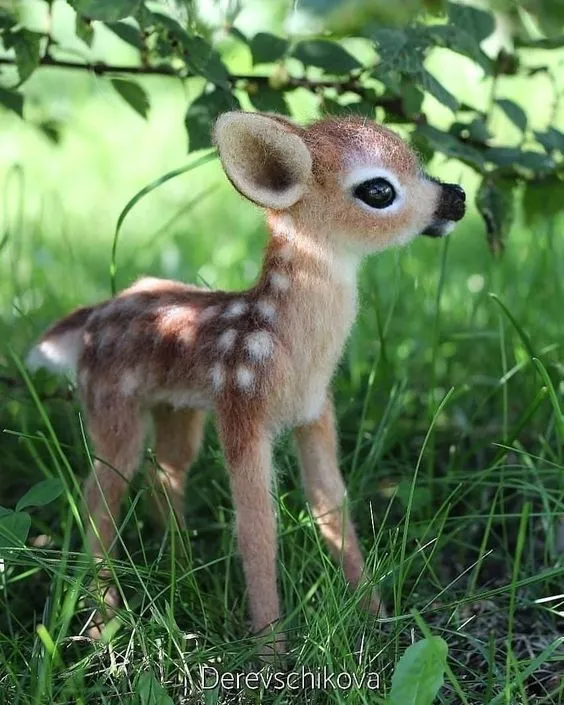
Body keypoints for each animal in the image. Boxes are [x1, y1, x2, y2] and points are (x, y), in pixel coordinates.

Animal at [26, 111, 466, 655]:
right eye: (379, 190)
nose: (456, 197)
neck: (287, 350)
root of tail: (88, 321)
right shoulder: (242, 406)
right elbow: (258, 528)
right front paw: (271, 651)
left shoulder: (315, 412)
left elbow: (331, 504)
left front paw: (377, 617)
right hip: (110, 404)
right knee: (98, 497)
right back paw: (102, 621)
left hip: (178, 409)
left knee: (165, 472)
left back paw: (181, 570)